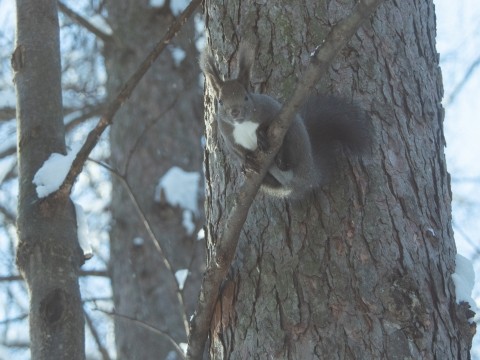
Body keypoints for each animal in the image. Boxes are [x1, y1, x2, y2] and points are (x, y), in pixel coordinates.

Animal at [201, 45, 370, 200]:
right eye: (220, 101)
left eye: (246, 97)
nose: (235, 112)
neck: (242, 125)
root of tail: (309, 175)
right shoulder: (228, 137)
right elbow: (238, 151)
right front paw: (246, 162)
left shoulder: (271, 109)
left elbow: (271, 122)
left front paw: (260, 134)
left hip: (296, 136)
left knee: (289, 152)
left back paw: (282, 159)